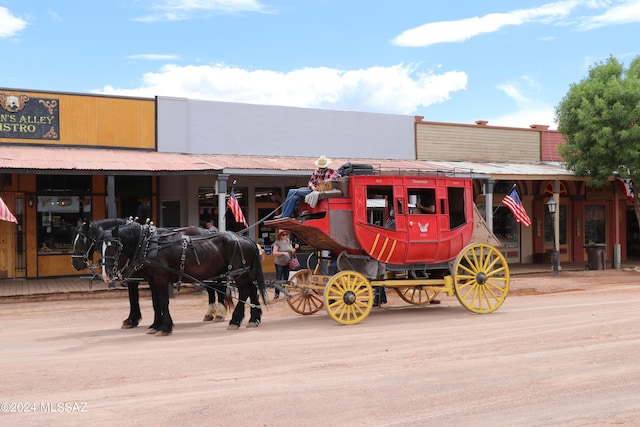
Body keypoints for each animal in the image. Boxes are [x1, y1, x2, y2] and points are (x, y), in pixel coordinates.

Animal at [70, 219, 229, 330]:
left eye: (82, 239)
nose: (75, 263)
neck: (141, 244)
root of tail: (209, 232)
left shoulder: (135, 278)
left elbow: (134, 299)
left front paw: (133, 320)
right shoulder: (147, 278)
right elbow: (152, 301)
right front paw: (146, 322)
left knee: (217, 288)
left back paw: (219, 313)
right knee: (212, 289)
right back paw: (211, 313)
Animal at [101, 222, 266, 336]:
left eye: (113, 246)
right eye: (100, 247)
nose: (106, 275)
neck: (148, 244)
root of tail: (246, 239)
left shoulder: (160, 277)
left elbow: (163, 302)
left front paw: (165, 327)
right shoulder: (152, 279)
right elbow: (156, 303)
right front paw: (155, 325)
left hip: (238, 274)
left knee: (244, 292)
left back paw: (235, 320)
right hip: (244, 274)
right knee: (252, 290)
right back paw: (253, 319)